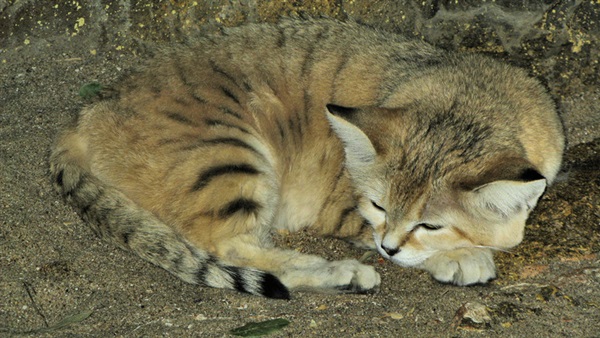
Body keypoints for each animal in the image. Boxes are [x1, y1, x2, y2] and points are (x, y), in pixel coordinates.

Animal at [49, 18, 564, 298]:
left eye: (430, 222)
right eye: (377, 205)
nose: (388, 250)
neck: (468, 97)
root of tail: (88, 113)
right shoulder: (342, 210)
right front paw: (463, 256)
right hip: (229, 155)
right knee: (230, 247)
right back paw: (341, 273)